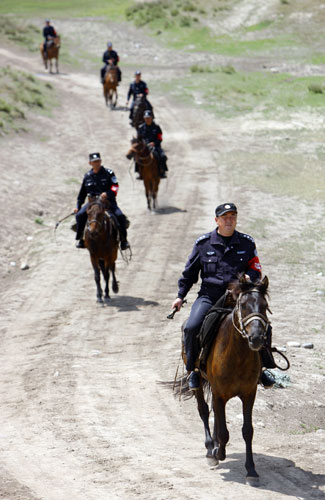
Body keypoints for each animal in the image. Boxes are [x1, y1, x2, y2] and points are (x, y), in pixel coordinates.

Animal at [177, 276, 270, 486]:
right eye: (243, 305)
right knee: (204, 411)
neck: (237, 355)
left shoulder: (249, 394)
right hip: (200, 384)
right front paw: (217, 453)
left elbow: (247, 431)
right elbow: (223, 431)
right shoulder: (219, 394)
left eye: (265, 306)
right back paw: (211, 448)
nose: (256, 338)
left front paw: (251, 470)